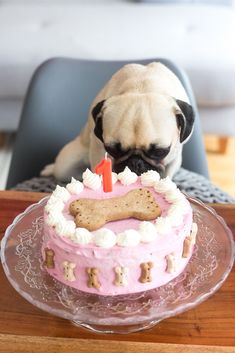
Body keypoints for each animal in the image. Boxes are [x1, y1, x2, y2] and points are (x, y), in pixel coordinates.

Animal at [40, 61, 195, 180]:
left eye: (159, 152)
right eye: (112, 150)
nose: (135, 163)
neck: (142, 88)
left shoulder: (174, 155)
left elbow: (167, 174)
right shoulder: (98, 149)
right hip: (66, 165)